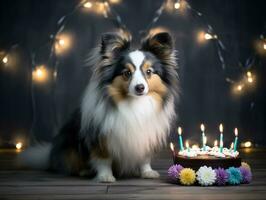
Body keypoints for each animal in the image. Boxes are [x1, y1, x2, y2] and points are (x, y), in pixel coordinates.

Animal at [20, 30, 179, 182]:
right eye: (127, 73)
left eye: (149, 72)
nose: (140, 87)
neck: (134, 103)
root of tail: (50, 157)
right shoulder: (100, 136)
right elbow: (103, 159)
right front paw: (105, 176)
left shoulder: (145, 137)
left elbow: (144, 158)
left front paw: (147, 172)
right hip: (69, 143)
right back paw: (84, 171)